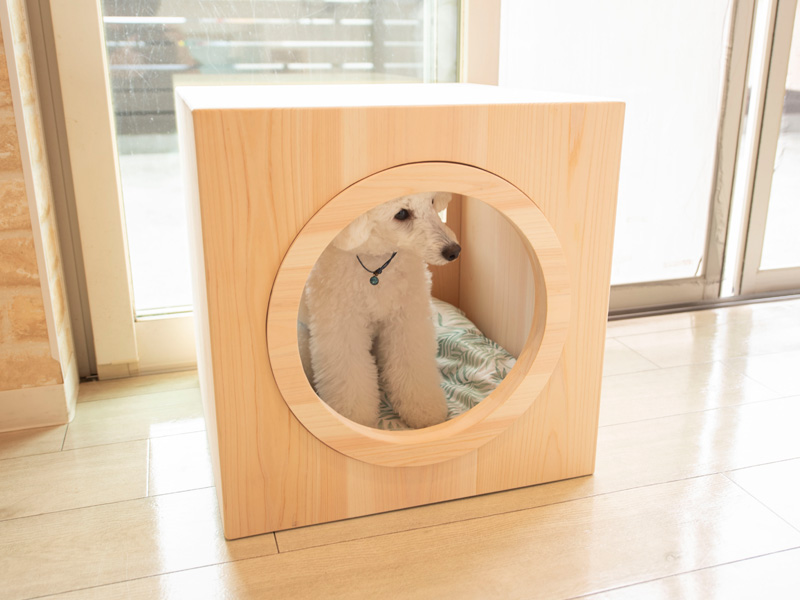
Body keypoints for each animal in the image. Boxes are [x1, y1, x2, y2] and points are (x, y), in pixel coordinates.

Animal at [298, 192, 461, 429]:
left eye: (432, 201)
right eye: (401, 214)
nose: (454, 251)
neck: (375, 268)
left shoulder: (407, 320)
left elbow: (412, 361)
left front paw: (424, 409)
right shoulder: (342, 327)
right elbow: (349, 376)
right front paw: (354, 419)